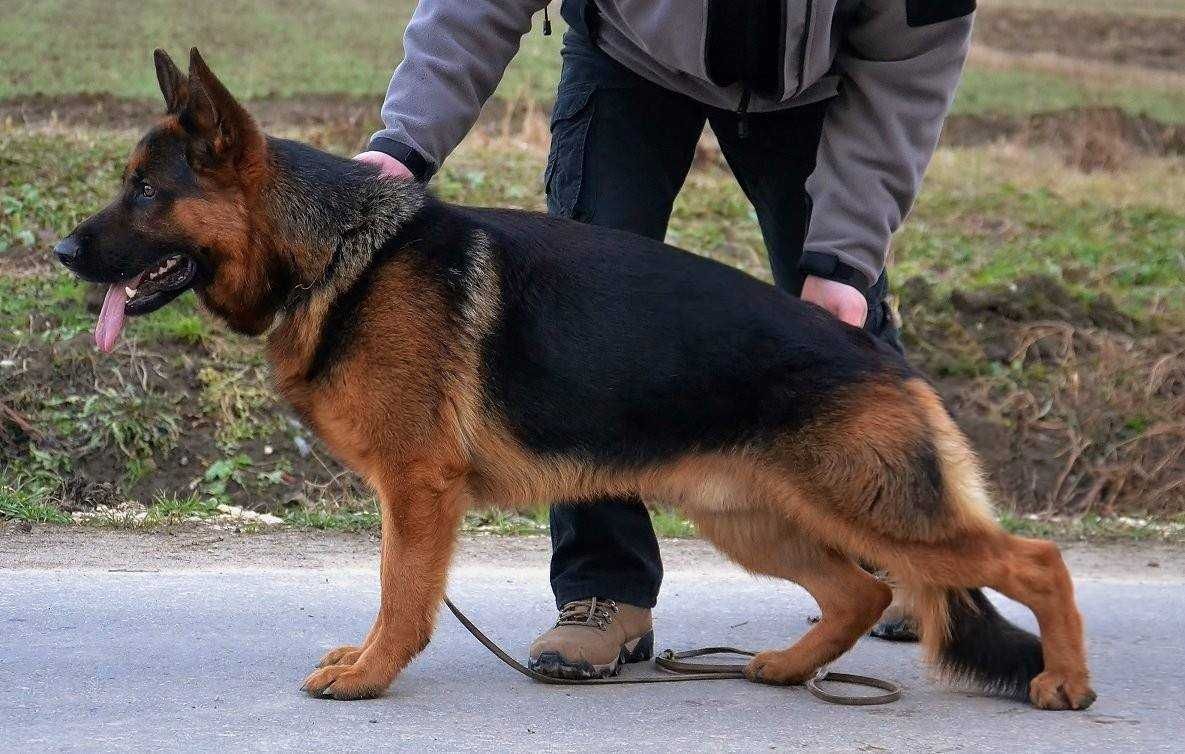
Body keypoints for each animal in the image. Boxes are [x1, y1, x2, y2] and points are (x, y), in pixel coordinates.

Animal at [53, 50, 1090, 711]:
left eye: (145, 192)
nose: (60, 253)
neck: (335, 252)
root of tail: (884, 358)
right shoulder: (413, 492)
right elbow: (396, 589)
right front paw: (368, 662)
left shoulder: (418, 491)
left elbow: (399, 592)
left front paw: (372, 674)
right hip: (751, 518)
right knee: (861, 596)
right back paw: (791, 669)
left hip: (875, 515)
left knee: (1033, 560)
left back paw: (1066, 681)